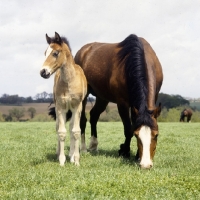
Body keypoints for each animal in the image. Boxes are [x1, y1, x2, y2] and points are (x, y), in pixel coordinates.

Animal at [40, 31, 87, 166]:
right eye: (45, 53)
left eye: (55, 53)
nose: (43, 72)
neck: (69, 80)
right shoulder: (61, 107)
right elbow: (61, 132)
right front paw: (61, 161)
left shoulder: (77, 106)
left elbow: (76, 131)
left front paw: (76, 160)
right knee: (58, 127)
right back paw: (59, 154)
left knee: (71, 127)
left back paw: (71, 155)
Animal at [74, 34, 162, 169]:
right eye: (137, 135)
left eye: (156, 135)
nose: (146, 164)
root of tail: (83, 51)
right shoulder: (123, 104)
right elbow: (128, 129)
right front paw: (125, 151)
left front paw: (137, 155)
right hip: (84, 95)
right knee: (82, 120)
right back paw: (83, 149)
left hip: (102, 97)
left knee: (94, 115)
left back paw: (94, 145)